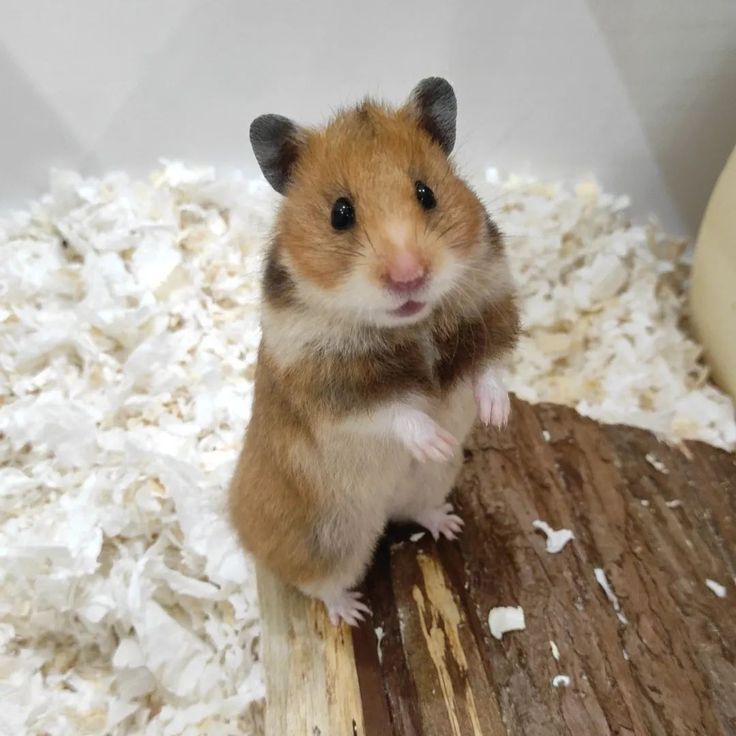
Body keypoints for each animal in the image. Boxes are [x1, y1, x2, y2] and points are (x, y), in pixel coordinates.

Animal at [227, 77, 520, 624]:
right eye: (340, 213)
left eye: (426, 193)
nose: (410, 276)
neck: (411, 326)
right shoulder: (334, 393)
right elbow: (396, 413)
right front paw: (436, 439)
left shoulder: (489, 311)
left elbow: (489, 370)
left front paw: (497, 416)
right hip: (329, 540)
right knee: (318, 584)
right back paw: (353, 611)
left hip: (429, 483)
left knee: (416, 509)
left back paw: (448, 523)